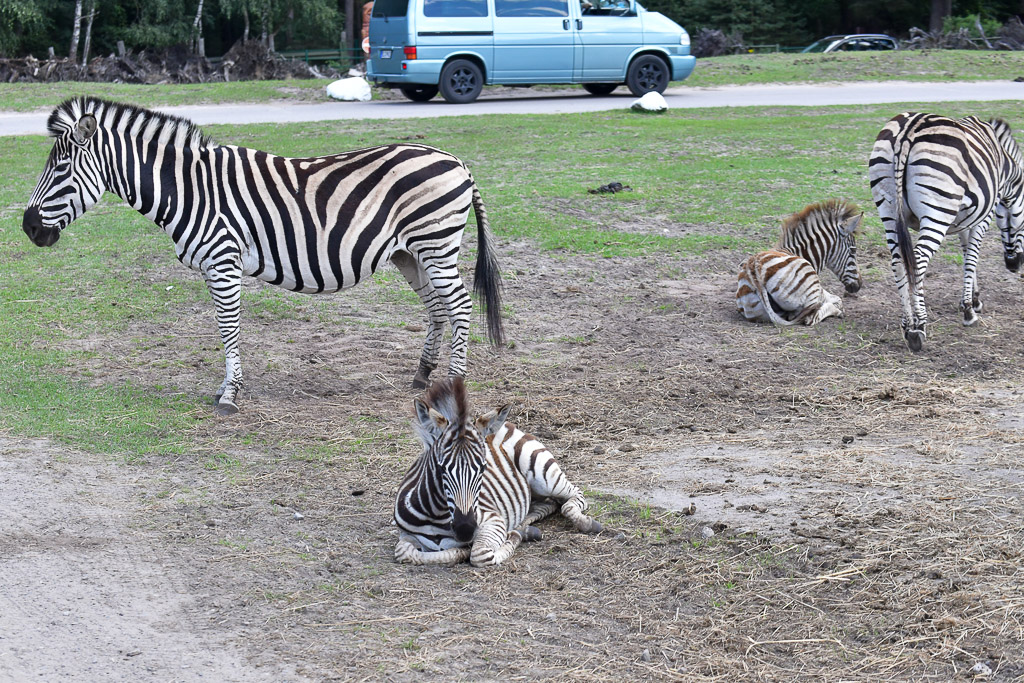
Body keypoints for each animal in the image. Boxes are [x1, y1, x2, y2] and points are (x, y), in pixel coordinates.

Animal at [21, 97, 504, 414]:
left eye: (60, 169)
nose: (28, 228)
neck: (189, 189)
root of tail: (457, 160)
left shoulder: (223, 260)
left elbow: (229, 329)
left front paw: (230, 394)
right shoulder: (213, 266)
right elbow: (225, 329)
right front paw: (227, 387)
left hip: (435, 244)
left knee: (459, 305)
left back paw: (454, 382)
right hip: (411, 253)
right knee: (437, 306)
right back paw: (422, 375)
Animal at [394, 377, 602, 568]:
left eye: (483, 467)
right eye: (441, 467)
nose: (465, 529)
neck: (435, 515)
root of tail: (506, 425)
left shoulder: (492, 519)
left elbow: (479, 554)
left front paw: (506, 539)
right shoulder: (406, 535)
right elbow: (404, 552)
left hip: (543, 474)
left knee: (572, 497)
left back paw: (586, 523)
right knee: (547, 505)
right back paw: (527, 529)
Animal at [868, 112, 1024, 352]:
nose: (1013, 265)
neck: (1006, 169)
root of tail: (908, 129)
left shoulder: (966, 219)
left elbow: (968, 254)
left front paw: (973, 300)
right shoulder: (984, 216)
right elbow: (972, 257)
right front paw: (968, 310)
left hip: (888, 210)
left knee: (898, 262)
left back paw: (907, 325)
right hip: (938, 210)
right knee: (918, 259)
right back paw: (918, 327)